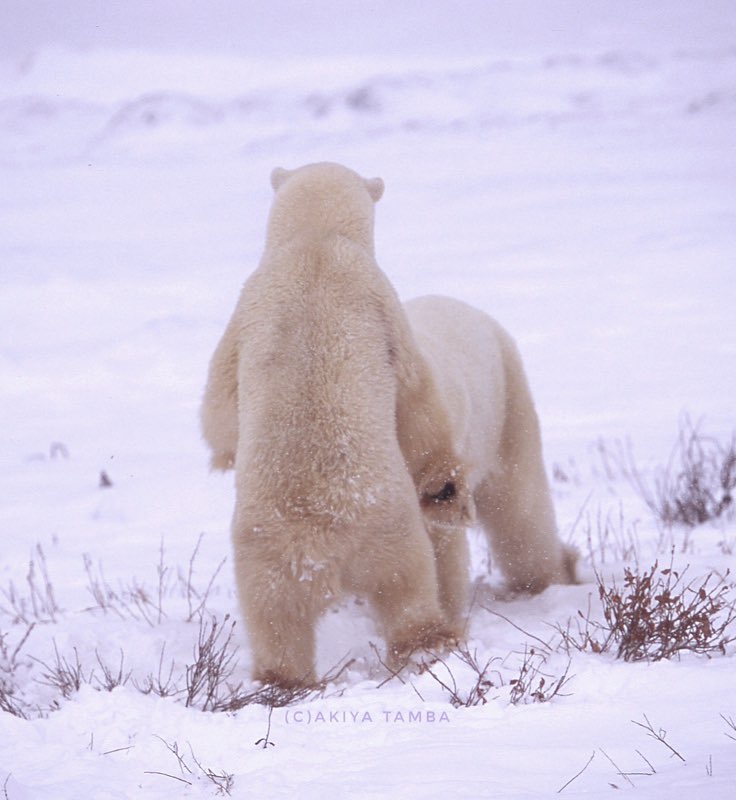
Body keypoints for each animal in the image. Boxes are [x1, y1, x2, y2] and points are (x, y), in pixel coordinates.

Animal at [200, 162, 469, 686]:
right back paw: (429, 647)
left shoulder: (248, 306)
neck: (315, 241)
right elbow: (416, 398)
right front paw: (444, 487)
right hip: (389, 528)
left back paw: (282, 679)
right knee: (408, 589)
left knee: (277, 621)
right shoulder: (379, 296)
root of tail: (323, 550)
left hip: (267, 559)